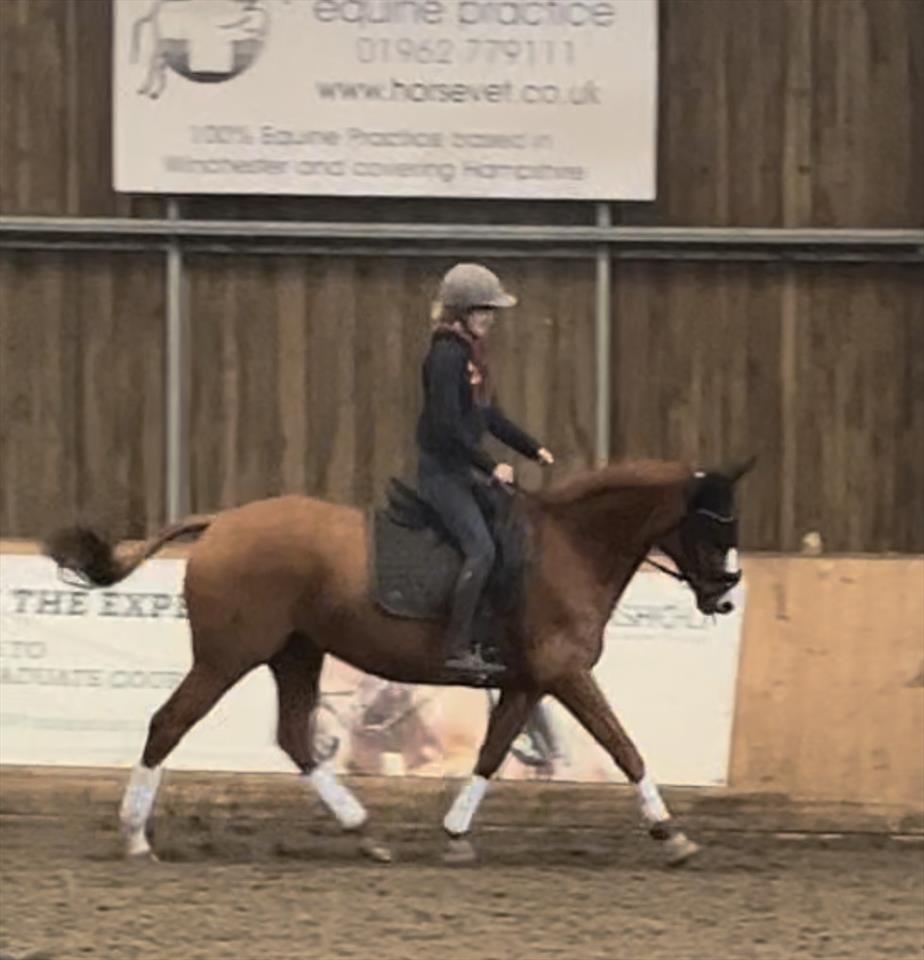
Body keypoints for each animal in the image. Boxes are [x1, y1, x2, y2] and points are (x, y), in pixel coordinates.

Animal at [44, 457, 752, 867]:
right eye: (713, 526)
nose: (724, 596)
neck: (570, 547)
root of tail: (222, 523)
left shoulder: (527, 684)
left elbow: (491, 754)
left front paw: (456, 833)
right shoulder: (565, 674)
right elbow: (623, 746)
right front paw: (670, 832)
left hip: (297, 654)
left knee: (295, 738)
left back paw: (364, 830)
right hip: (227, 656)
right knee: (169, 724)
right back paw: (136, 837)